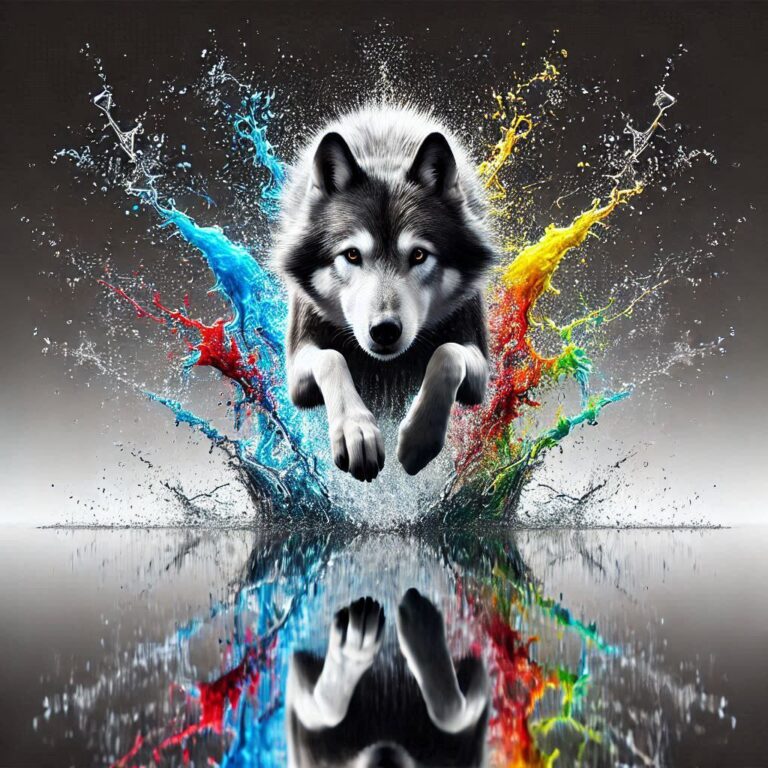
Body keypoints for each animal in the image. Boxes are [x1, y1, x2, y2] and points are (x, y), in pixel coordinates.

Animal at [274, 105, 496, 481]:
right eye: (352, 255)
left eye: (418, 255)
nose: (385, 330)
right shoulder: (298, 375)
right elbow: (332, 358)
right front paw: (356, 431)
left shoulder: (476, 371)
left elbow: (447, 355)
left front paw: (418, 441)